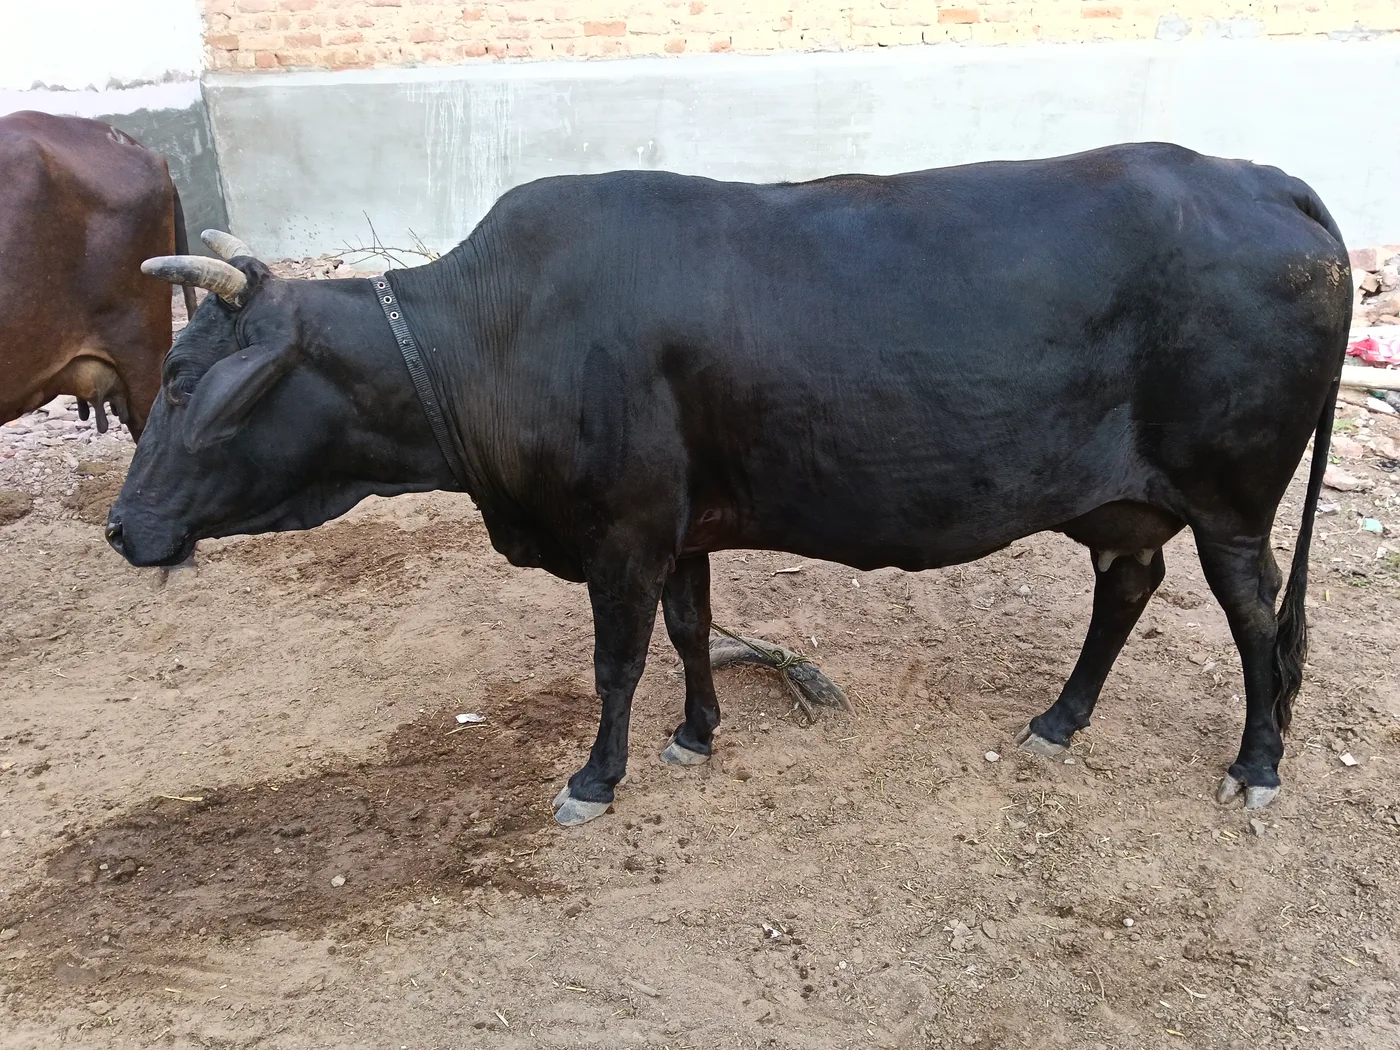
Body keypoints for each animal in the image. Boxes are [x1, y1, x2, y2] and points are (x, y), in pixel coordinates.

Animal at [106, 143, 1351, 826]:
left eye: (184, 383)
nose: (122, 527)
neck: (490, 336)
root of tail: (1261, 178)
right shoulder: (678, 525)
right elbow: (691, 630)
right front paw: (695, 735)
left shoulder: (617, 528)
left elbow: (615, 661)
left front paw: (594, 779)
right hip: (1128, 500)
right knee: (1126, 586)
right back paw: (1058, 719)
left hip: (1230, 496)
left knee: (1255, 623)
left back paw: (1255, 764)